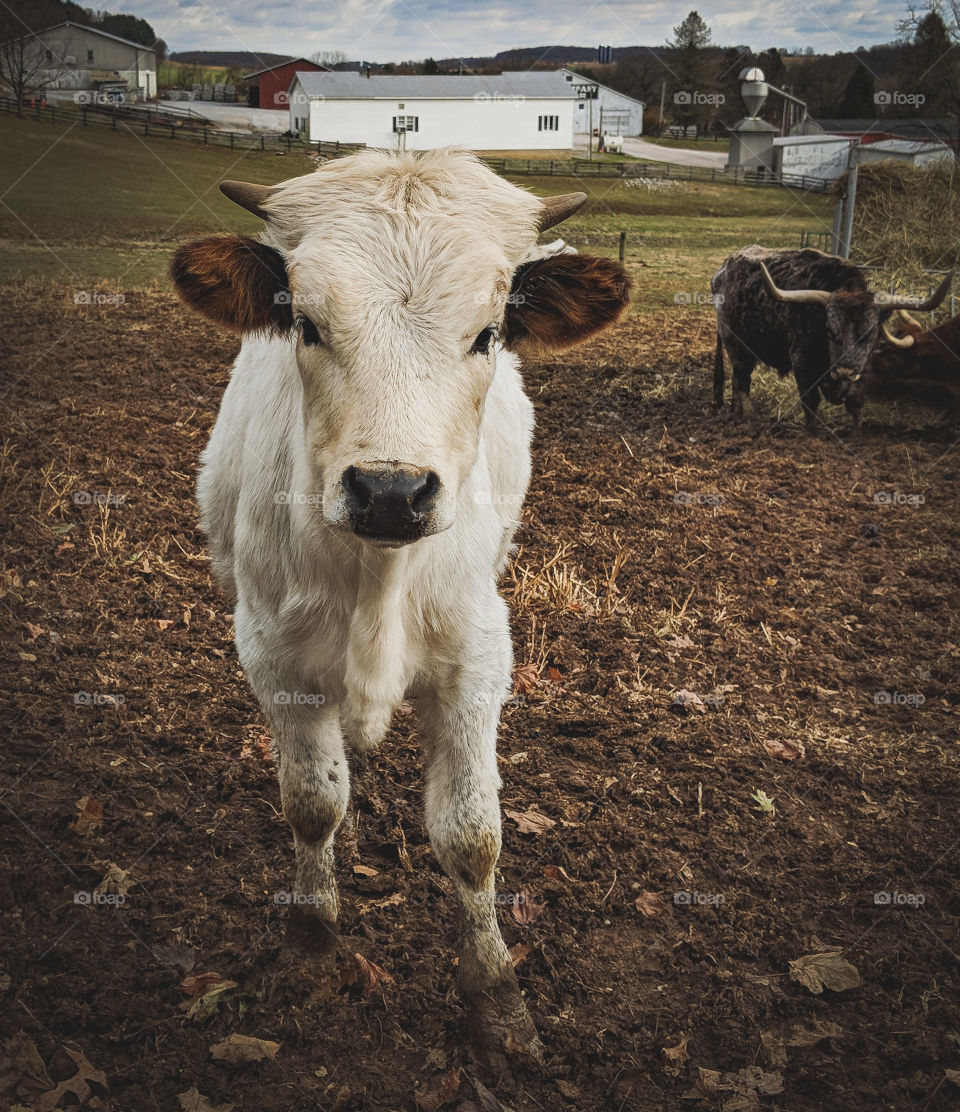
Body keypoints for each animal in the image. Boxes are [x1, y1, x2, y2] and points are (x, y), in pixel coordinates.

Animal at [169, 149, 631, 1066]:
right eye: (307, 324)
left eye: (488, 334)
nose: (390, 491)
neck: (379, 575)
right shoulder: (272, 653)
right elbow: (312, 799)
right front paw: (312, 941)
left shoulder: (479, 659)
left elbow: (472, 835)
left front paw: (496, 996)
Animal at [711, 245, 951, 431]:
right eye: (829, 330)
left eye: (869, 334)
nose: (844, 371)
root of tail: (723, 269)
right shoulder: (802, 363)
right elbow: (810, 401)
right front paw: (812, 432)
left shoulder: (862, 373)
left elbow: (855, 404)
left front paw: (855, 433)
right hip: (736, 346)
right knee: (742, 381)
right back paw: (748, 417)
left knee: (737, 382)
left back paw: (736, 411)